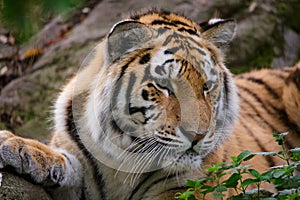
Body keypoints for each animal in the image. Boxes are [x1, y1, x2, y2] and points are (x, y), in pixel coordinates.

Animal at [0, 8, 298, 199]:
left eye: (207, 87)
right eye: (164, 86)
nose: (198, 136)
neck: (120, 157)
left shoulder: (190, 189)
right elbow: (62, 158)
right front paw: (15, 145)